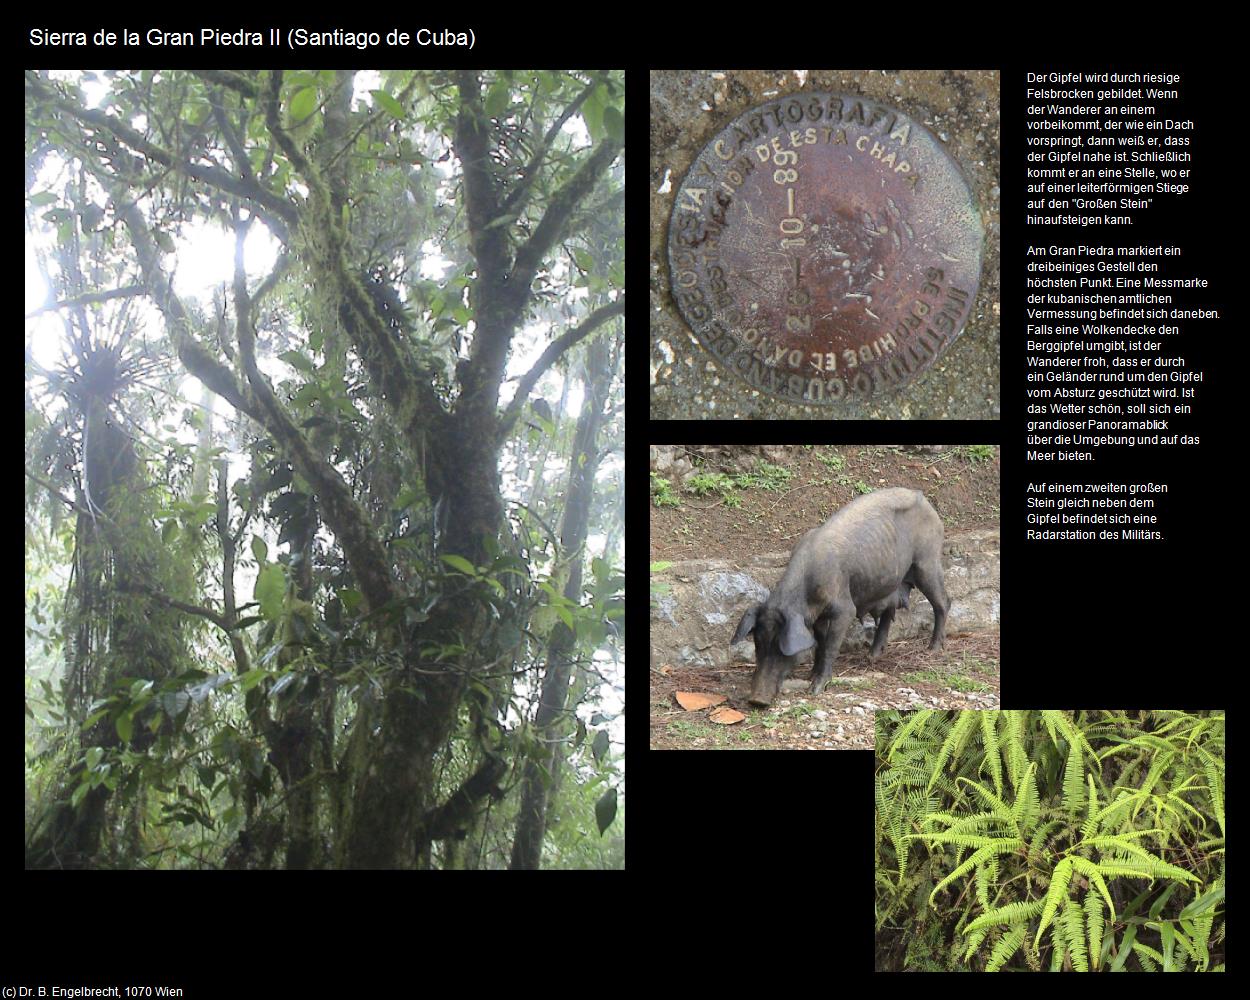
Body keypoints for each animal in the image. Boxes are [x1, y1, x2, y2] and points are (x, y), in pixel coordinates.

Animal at [730, 487, 945, 705]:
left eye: (779, 647)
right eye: (758, 643)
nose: (757, 700)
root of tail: (922, 497)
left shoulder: (845, 609)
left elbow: (831, 646)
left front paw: (815, 689)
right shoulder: (817, 617)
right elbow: (820, 642)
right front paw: (810, 675)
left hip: (927, 561)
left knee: (943, 602)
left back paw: (933, 649)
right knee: (887, 614)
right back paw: (872, 656)